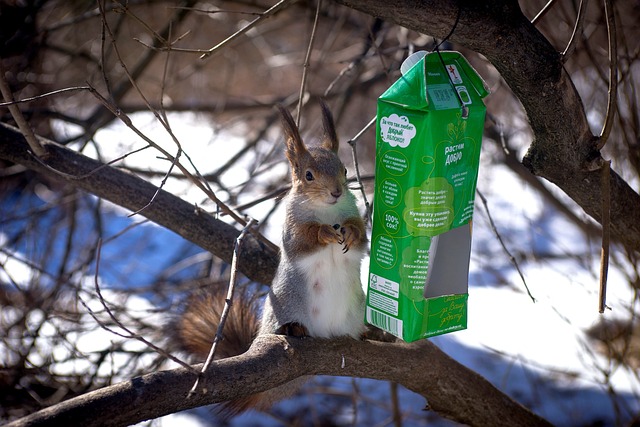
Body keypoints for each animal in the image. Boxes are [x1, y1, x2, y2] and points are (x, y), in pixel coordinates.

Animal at [175, 100, 368, 418]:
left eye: (344, 169)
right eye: (308, 175)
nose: (337, 192)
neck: (327, 210)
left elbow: (361, 240)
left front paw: (350, 232)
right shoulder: (291, 231)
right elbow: (301, 242)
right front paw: (324, 233)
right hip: (286, 305)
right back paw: (293, 329)